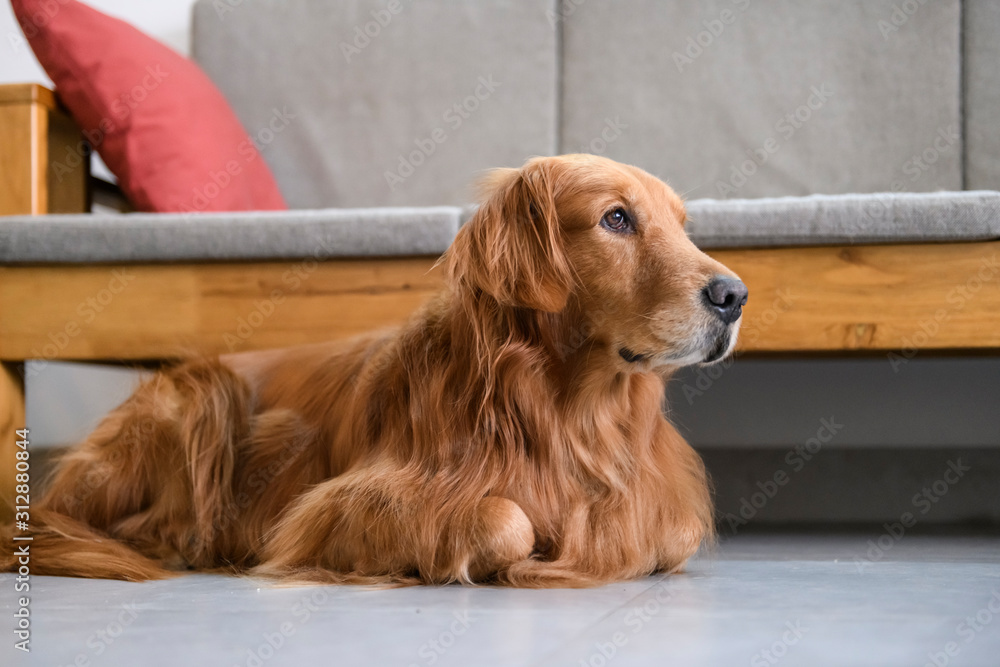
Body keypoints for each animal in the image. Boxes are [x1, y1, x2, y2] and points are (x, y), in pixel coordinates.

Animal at [3, 154, 748, 588]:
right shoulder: (331, 508)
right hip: (201, 397)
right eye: (615, 218)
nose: (735, 295)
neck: (563, 410)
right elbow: (505, 517)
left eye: (684, 226)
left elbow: (669, 530)